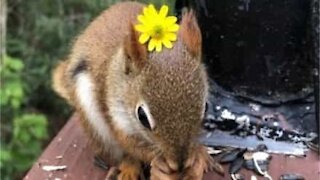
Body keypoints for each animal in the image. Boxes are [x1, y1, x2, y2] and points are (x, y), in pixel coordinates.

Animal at [52, 1, 222, 180]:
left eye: (206, 107)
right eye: (142, 116)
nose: (180, 163)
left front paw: (198, 156)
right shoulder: (117, 115)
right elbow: (131, 144)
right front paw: (158, 163)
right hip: (93, 122)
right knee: (120, 155)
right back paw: (128, 169)